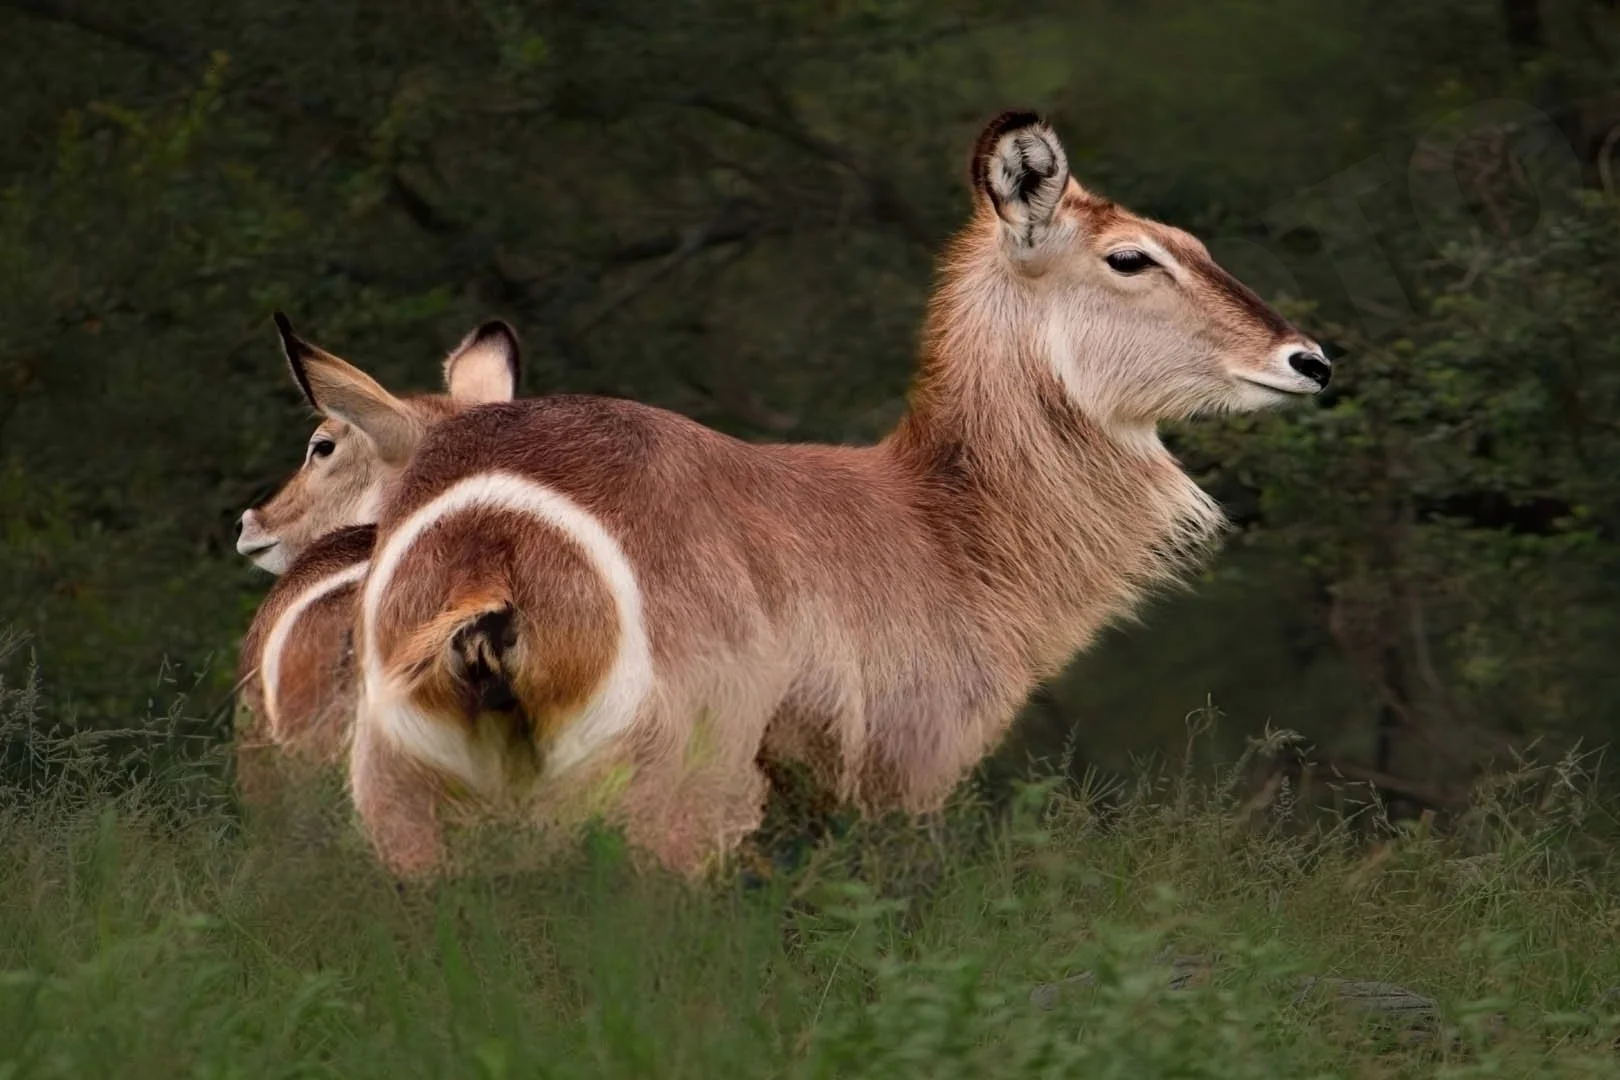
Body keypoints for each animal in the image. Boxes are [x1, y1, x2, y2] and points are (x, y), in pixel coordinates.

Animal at [302, 110, 1332, 879]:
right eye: (1130, 257)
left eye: (1193, 244)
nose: (1309, 361)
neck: (946, 522)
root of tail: (496, 537)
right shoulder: (906, 777)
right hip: (667, 802)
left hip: (407, 805)